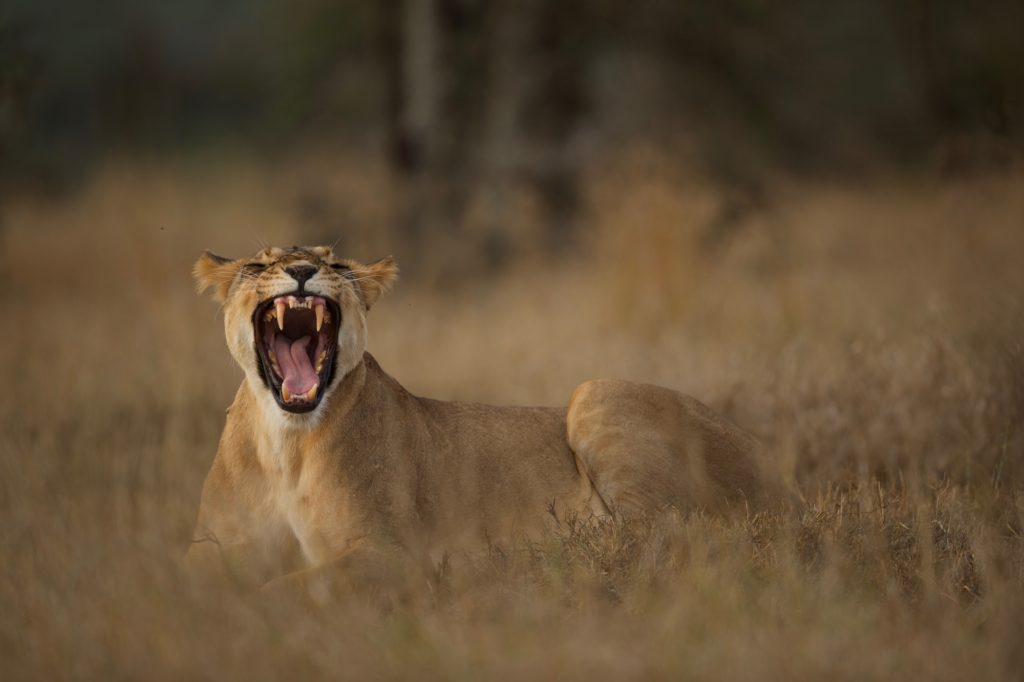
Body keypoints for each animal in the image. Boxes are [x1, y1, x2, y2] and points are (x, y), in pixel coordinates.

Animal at [185, 245, 784, 598]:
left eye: (335, 264)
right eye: (260, 264)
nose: (304, 271)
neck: (285, 442)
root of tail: (782, 476)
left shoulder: (390, 553)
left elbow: (284, 587)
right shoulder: (211, 547)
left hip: (595, 394)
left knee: (659, 536)